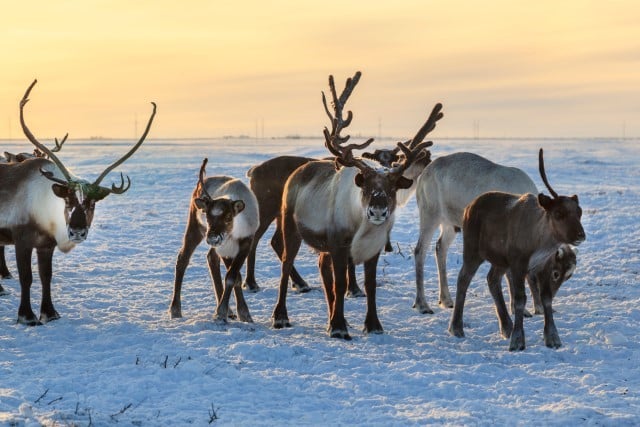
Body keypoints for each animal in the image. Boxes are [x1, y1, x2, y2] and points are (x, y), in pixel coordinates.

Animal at [172, 159, 260, 322]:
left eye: (228, 217)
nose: (213, 238)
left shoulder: (246, 242)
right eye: (207, 216)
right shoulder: (224, 248)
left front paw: (242, 314)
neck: (235, 232)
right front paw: (222, 312)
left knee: (211, 257)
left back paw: (230, 311)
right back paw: (175, 310)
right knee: (183, 258)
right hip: (195, 227)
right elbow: (234, 277)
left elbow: (233, 276)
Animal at [450, 150, 584, 352]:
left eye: (579, 212)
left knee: (492, 279)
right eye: (558, 213)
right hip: (473, 251)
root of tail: (468, 207)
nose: (580, 235)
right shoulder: (518, 264)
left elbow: (546, 299)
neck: (540, 241)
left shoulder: (542, 265)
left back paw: (506, 326)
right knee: (463, 279)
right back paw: (456, 327)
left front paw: (552, 338)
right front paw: (518, 340)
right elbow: (520, 299)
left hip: (500, 261)